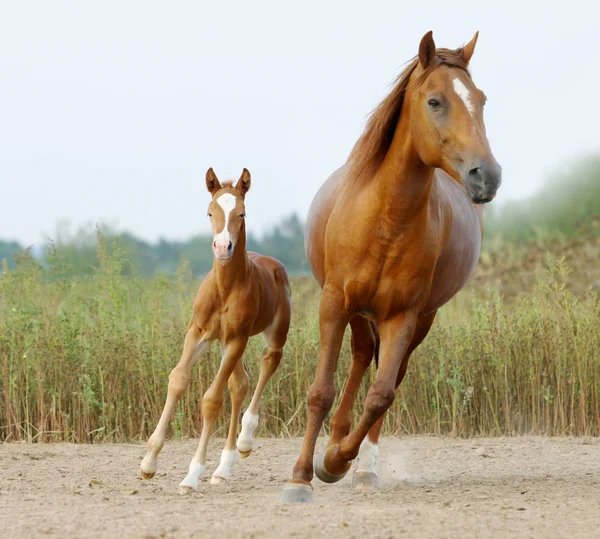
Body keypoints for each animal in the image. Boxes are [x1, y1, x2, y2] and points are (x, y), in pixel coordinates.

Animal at [141, 168, 290, 494]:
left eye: (241, 213)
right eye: (210, 212)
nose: (223, 247)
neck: (225, 289)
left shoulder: (236, 339)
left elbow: (211, 400)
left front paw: (192, 475)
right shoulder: (198, 333)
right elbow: (178, 379)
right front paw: (149, 462)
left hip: (270, 335)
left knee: (267, 363)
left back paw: (244, 441)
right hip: (224, 344)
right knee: (240, 384)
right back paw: (224, 467)